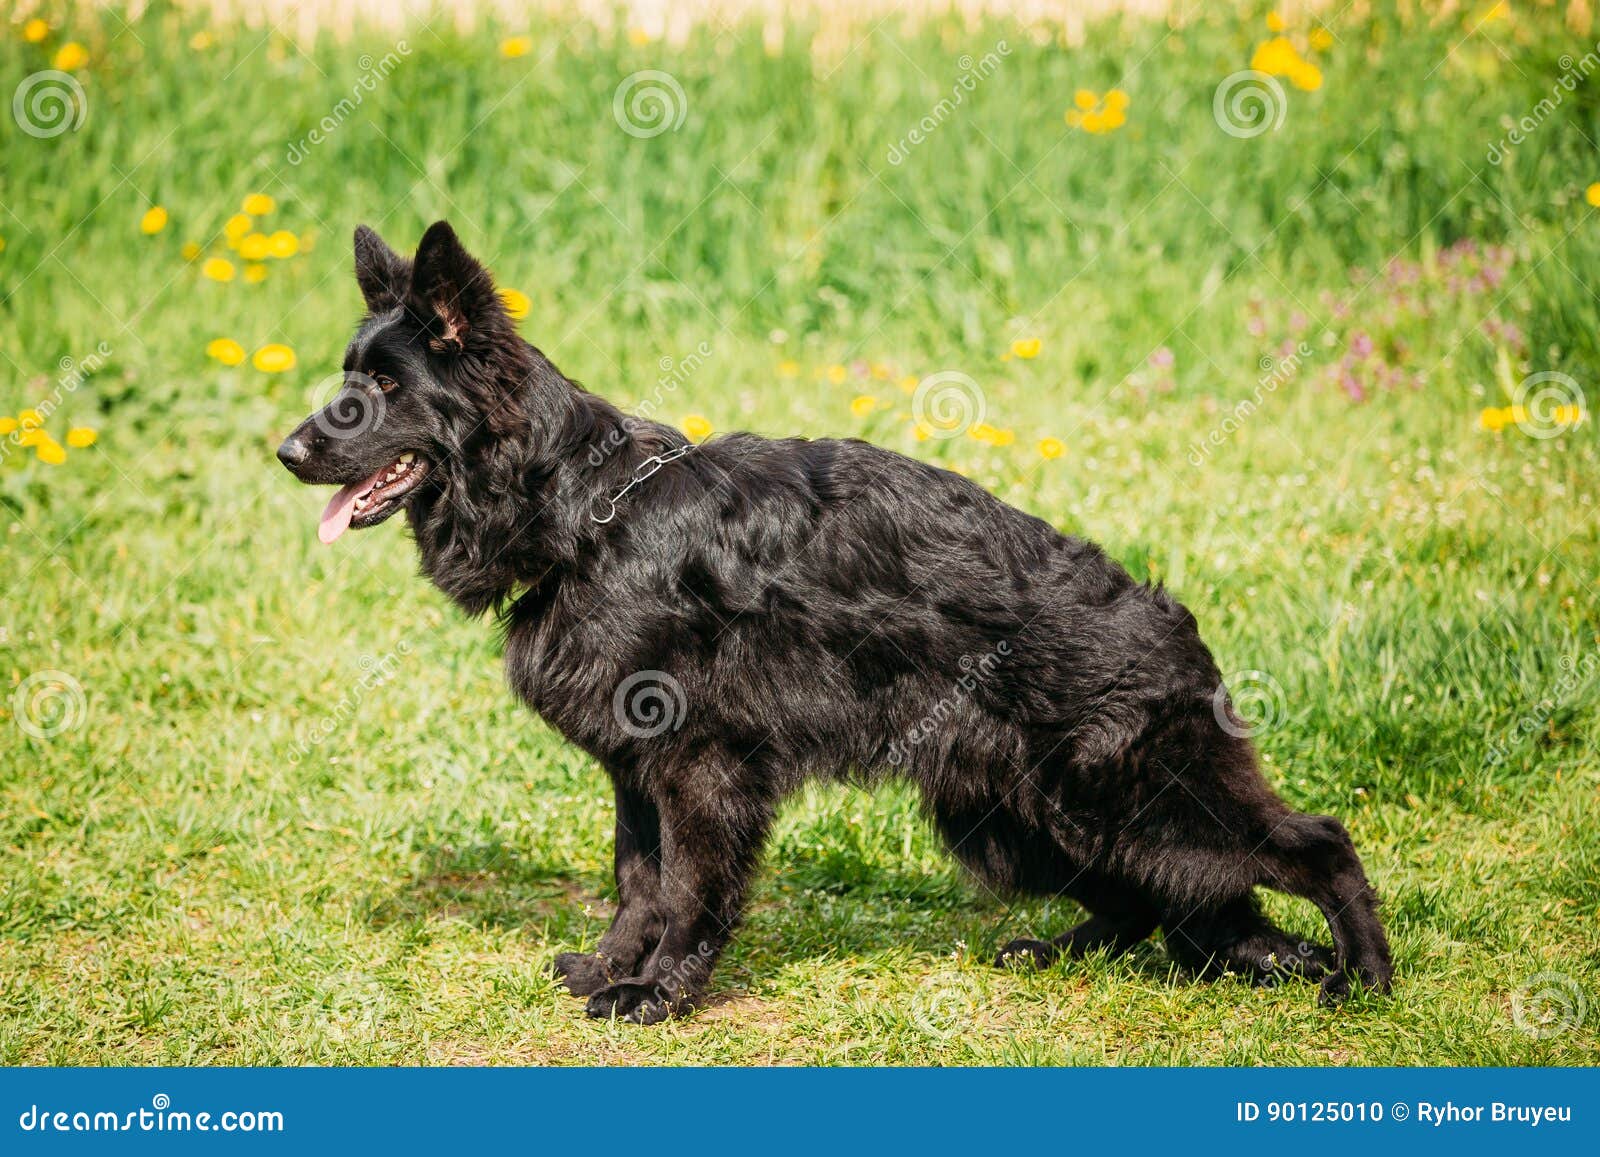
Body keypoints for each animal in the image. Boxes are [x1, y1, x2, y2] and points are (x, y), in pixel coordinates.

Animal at [281, 222, 1395, 1024]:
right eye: (348, 379)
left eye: (382, 388)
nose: (286, 451)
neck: (592, 510)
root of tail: (1173, 627)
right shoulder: (637, 773)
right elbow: (636, 879)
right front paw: (610, 967)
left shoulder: (702, 769)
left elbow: (687, 889)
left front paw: (657, 990)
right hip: (1015, 817)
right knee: (1141, 905)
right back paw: (1063, 954)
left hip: (1132, 806)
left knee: (1312, 845)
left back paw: (1367, 976)